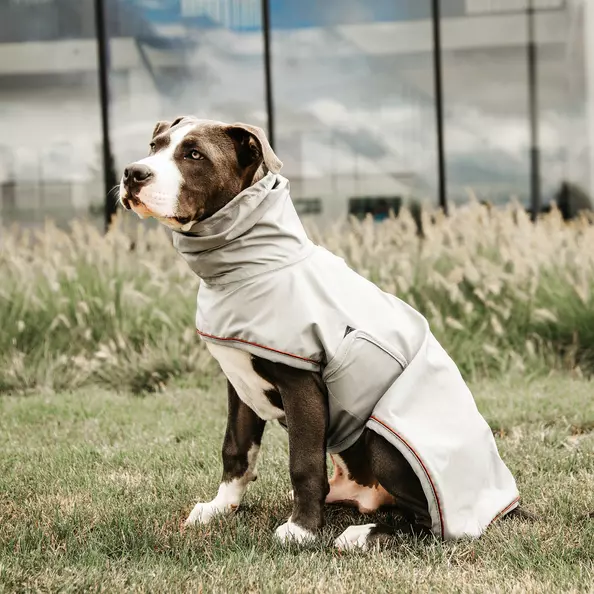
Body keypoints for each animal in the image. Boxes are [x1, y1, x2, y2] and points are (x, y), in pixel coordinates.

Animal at [119, 115, 524, 552]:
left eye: (194, 154)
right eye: (155, 145)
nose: (132, 173)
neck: (252, 266)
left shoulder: (302, 387)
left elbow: (303, 463)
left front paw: (302, 530)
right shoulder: (239, 384)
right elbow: (235, 450)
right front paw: (219, 507)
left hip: (382, 437)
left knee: (428, 523)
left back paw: (363, 534)